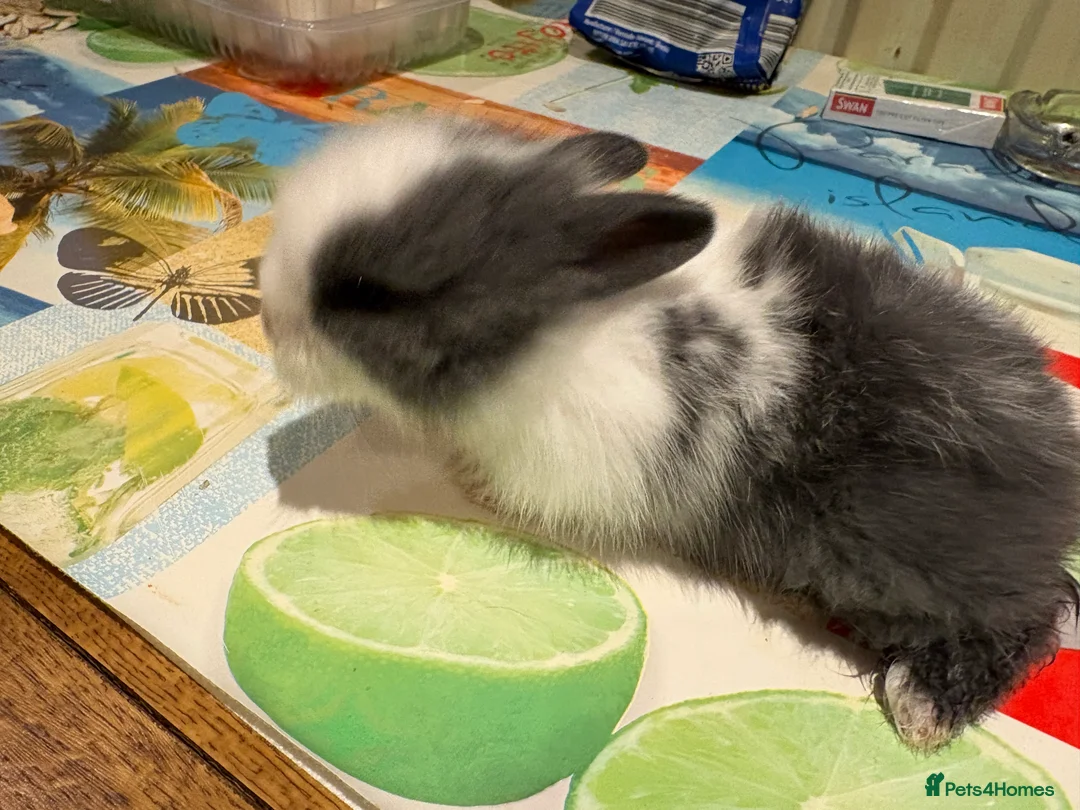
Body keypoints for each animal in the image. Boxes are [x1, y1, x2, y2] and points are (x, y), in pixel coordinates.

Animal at [258, 116, 1080, 754]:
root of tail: (1056, 477)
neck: (550, 329)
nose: (266, 322)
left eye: (367, 293)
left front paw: (473, 484)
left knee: (1029, 621)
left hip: (901, 562)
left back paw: (920, 707)